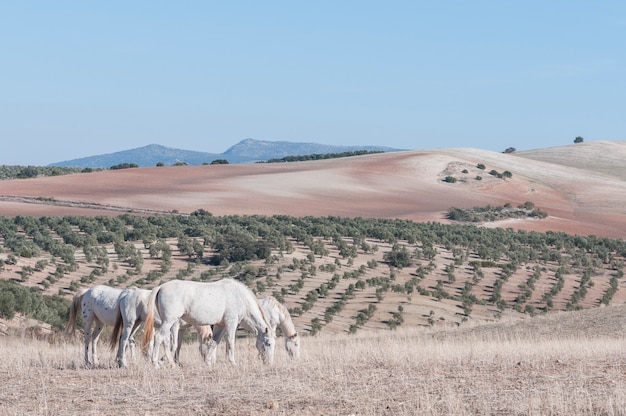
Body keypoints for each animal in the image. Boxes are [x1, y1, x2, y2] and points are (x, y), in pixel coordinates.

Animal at [145, 278, 276, 366]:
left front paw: (208, 361)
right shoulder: (231, 323)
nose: (269, 363)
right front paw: (232, 362)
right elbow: (230, 342)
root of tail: (161, 287)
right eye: (268, 343)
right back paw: (156, 363)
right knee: (158, 337)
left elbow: (214, 343)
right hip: (168, 322)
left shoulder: (220, 326)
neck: (240, 297)